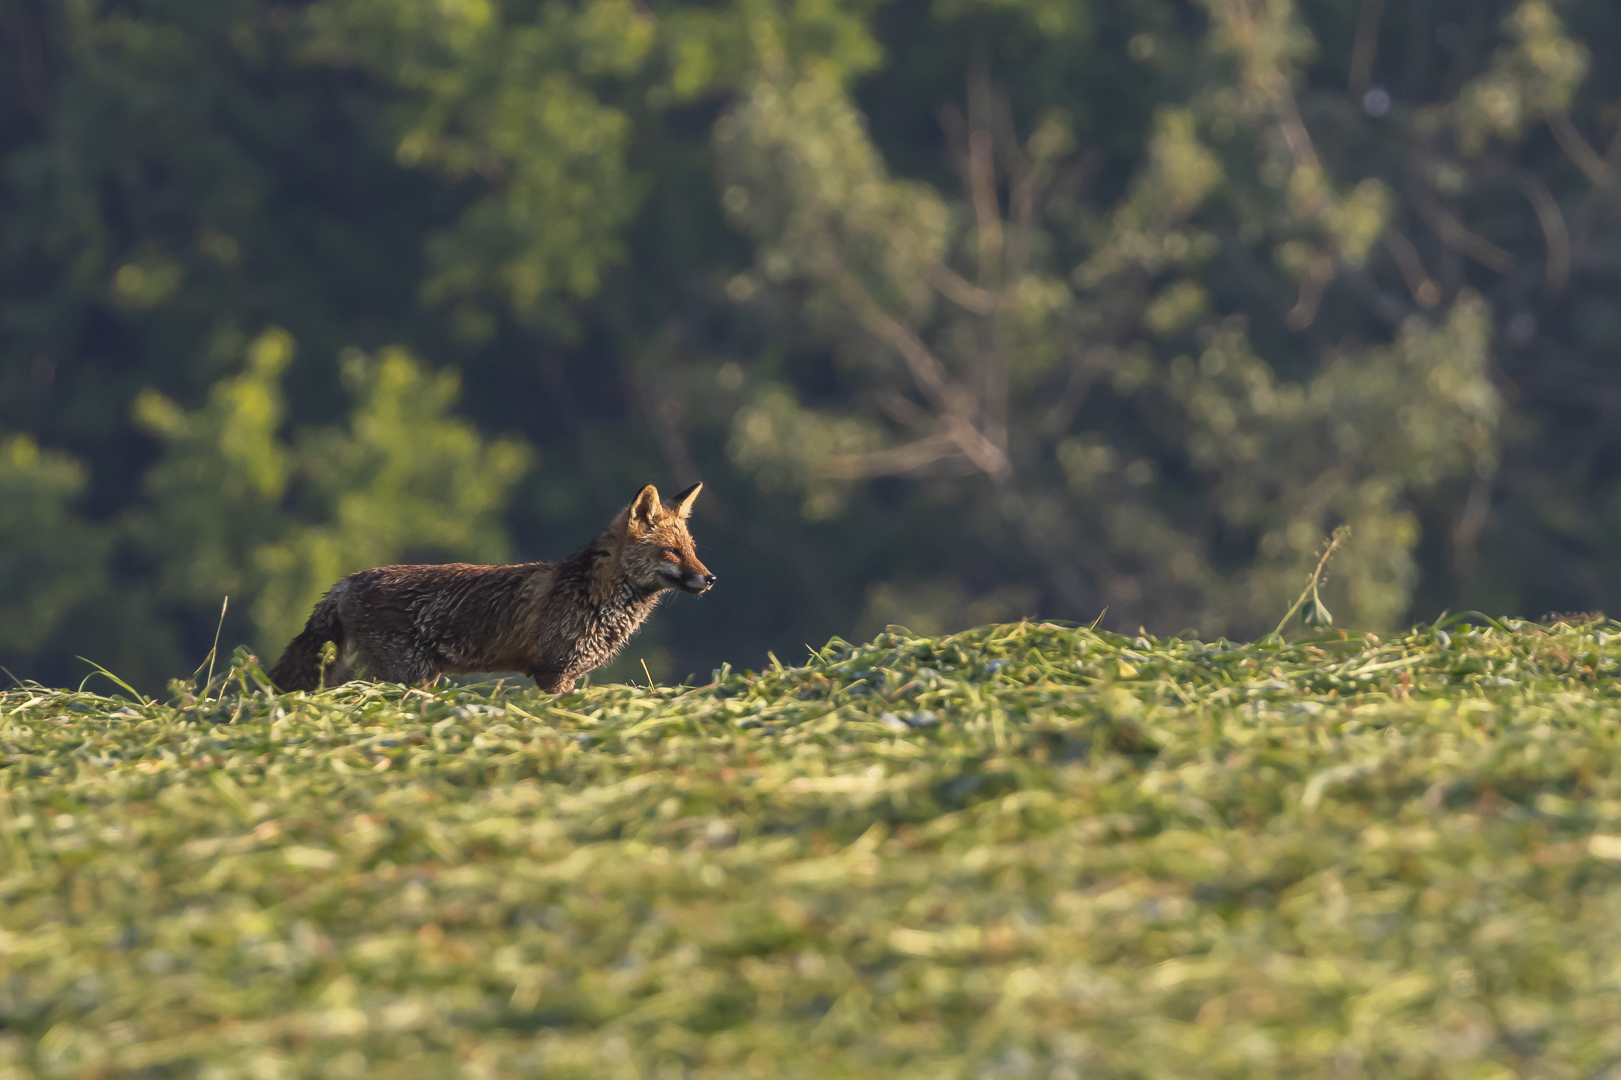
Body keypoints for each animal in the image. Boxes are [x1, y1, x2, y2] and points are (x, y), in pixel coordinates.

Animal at [269, 480, 713, 690]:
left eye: (691, 550)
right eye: (672, 552)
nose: (710, 578)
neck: (594, 595)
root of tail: (346, 580)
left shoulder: (566, 675)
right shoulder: (553, 673)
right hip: (406, 676)